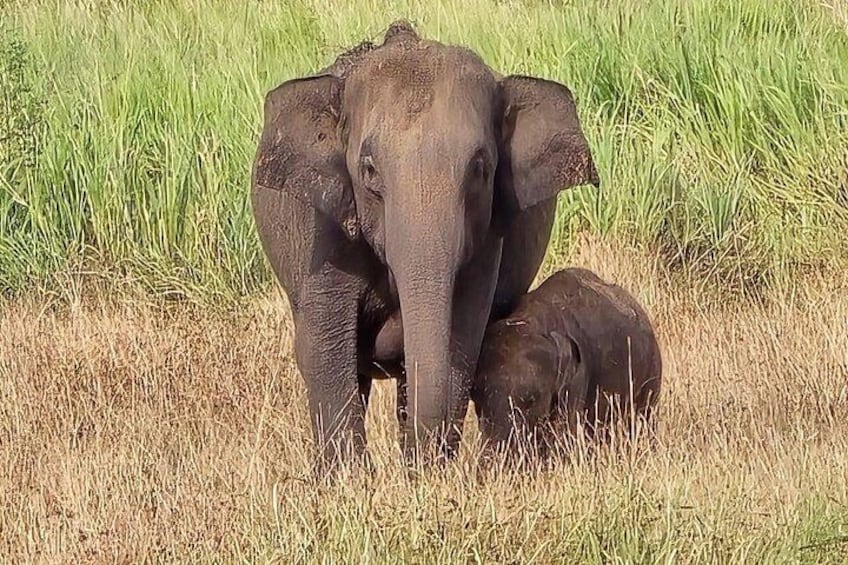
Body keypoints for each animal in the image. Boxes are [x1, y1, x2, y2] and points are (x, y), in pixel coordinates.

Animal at [250, 20, 599, 469]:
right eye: (368, 170)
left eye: (480, 167)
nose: (418, 460)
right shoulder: (323, 231)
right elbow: (324, 346)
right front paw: (348, 479)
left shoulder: (486, 237)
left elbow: (463, 336)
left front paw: (426, 473)